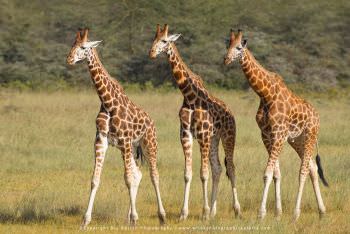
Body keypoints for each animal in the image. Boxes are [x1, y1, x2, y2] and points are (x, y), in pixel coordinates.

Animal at [66, 28, 166, 228]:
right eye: (72, 45)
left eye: (83, 47)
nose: (69, 59)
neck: (107, 102)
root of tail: (152, 122)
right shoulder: (101, 140)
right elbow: (95, 179)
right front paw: (85, 221)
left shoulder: (125, 139)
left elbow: (127, 179)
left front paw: (135, 217)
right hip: (130, 148)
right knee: (138, 174)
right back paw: (130, 218)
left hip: (148, 144)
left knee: (153, 174)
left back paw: (161, 217)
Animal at [148, 24, 241, 220]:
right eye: (153, 39)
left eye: (164, 41)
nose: (151, 53)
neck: (189, 96)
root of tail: (231, 114)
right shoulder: (186, 135)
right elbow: (188, 174)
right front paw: (184, 213)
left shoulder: (203, 135)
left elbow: (203, 174)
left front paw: (203, 213)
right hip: (214, 139)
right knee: (218, 168)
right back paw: (213, 211)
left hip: (228, 136)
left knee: (231, 168)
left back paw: (236, 209)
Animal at [224, 28, 328, 220]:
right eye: (228, 44)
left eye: (239, 47)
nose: (226, 59)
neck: (265, 94)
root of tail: (317, 117)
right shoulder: (267, 135)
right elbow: (275, 174)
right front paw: (277, 213)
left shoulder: (279, 134)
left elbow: (267, 173)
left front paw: (261, 213)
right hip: (297, 140)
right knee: (312, 167)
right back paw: (322, 211)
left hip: (310, 135)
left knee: (303, 170)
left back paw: (296, 214)